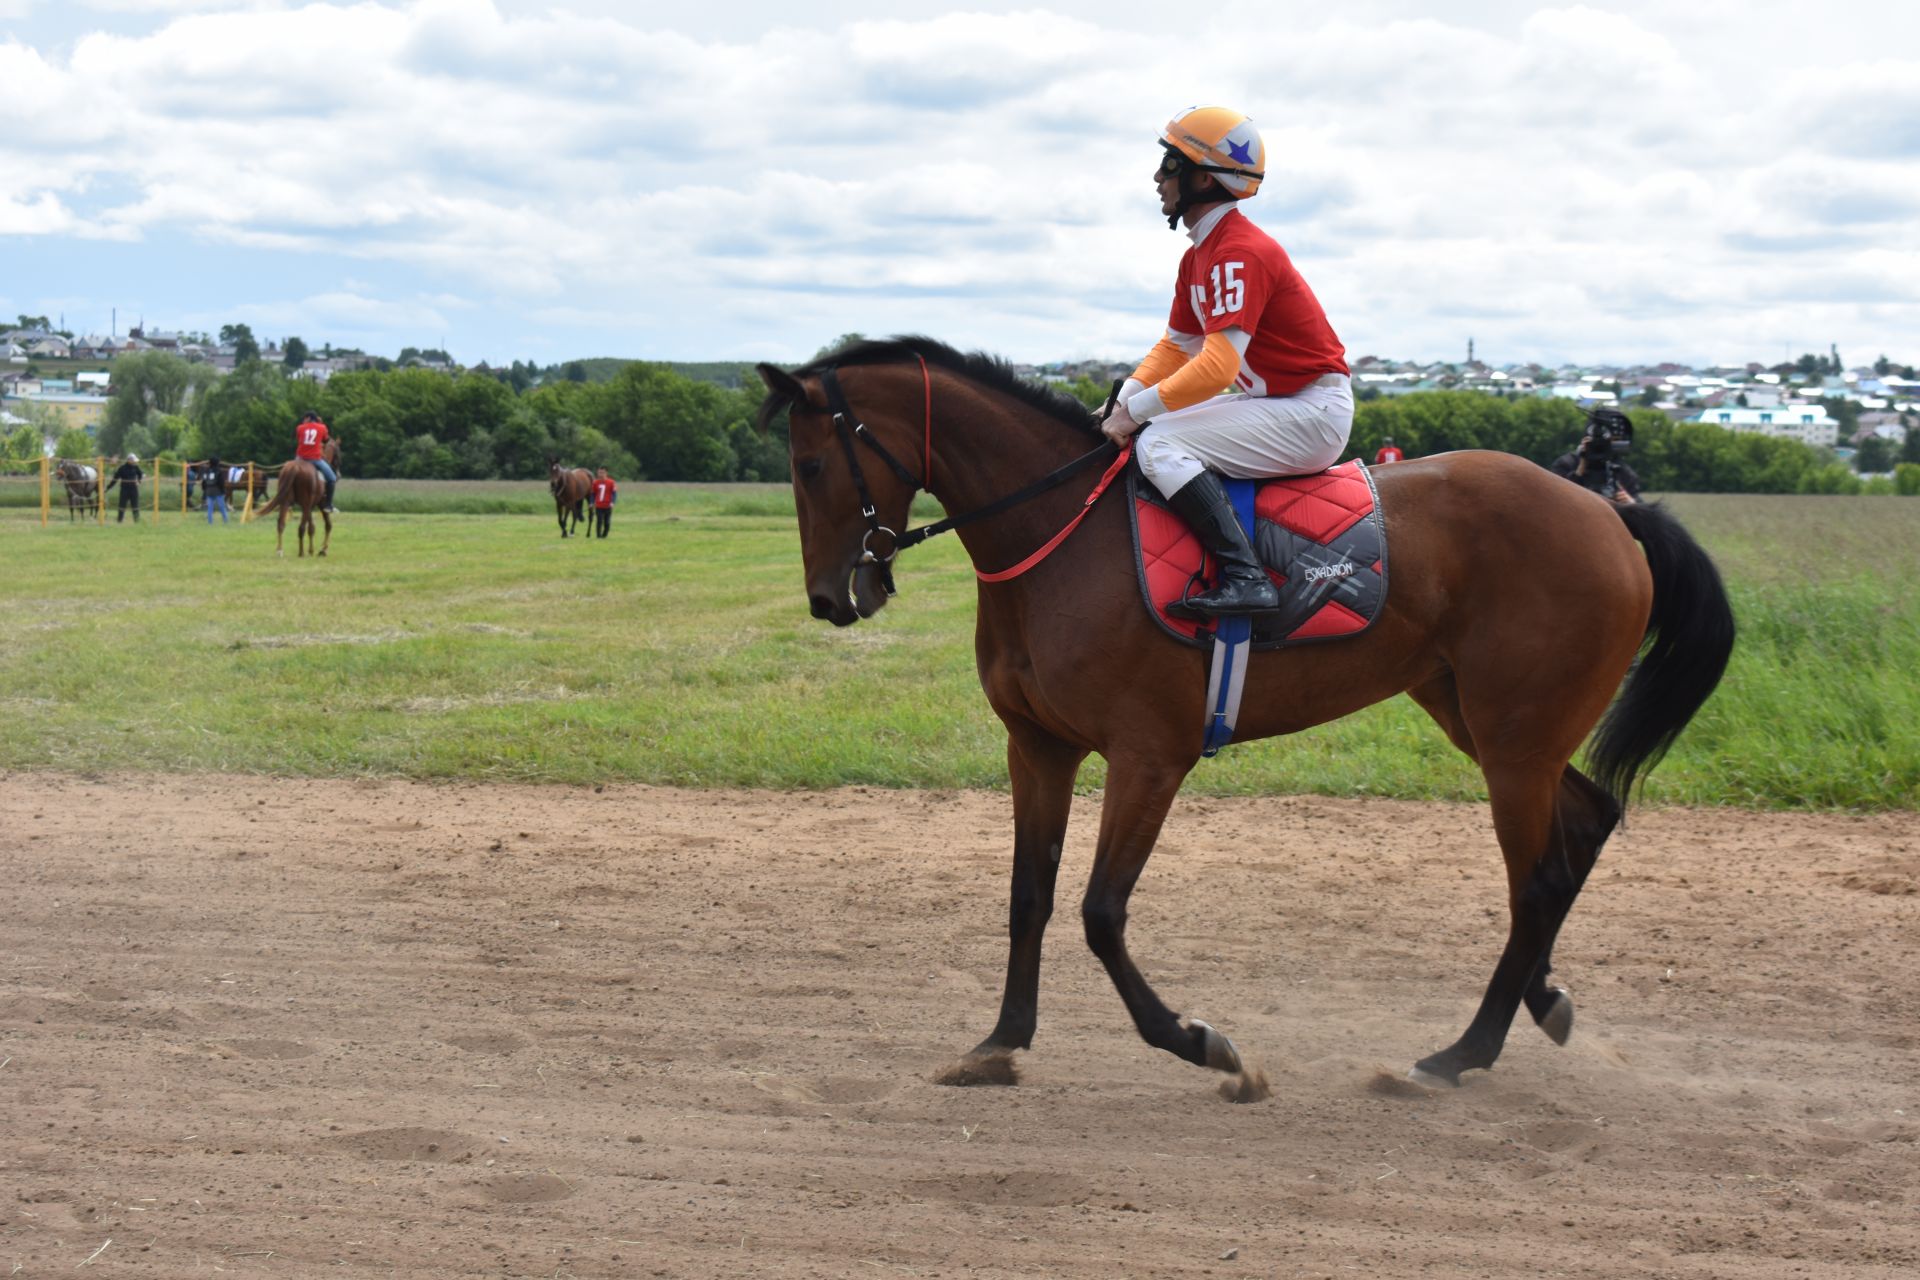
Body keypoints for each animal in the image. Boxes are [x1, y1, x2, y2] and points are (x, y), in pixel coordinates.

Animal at [752, 339, 1743, 1105]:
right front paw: (1000, 1041)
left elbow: (1101, 912)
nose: (828, 599)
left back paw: (1457, 1055)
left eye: (810, 465)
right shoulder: (1038, 749)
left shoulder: (1149, 758)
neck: (1062, 535)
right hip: (1485, 722)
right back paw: (1540, 1000)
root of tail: (1610, 515)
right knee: (1581, 828)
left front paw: (1203, 1044)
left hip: (1513, 740)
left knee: (1537, 880)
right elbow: (1029, 896)